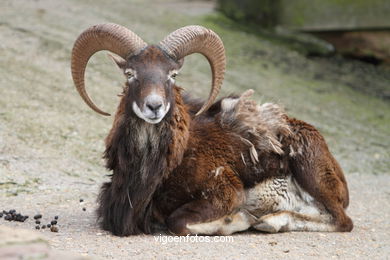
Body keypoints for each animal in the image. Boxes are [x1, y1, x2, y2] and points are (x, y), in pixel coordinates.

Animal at [71, 23, 354, 236]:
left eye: (172, 75)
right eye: (131, 74)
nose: (154, 106)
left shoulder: (225, 191)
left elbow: (178, 222)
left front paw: (239, 220)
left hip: (310, 171)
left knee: (342, 221)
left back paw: (269, 222)